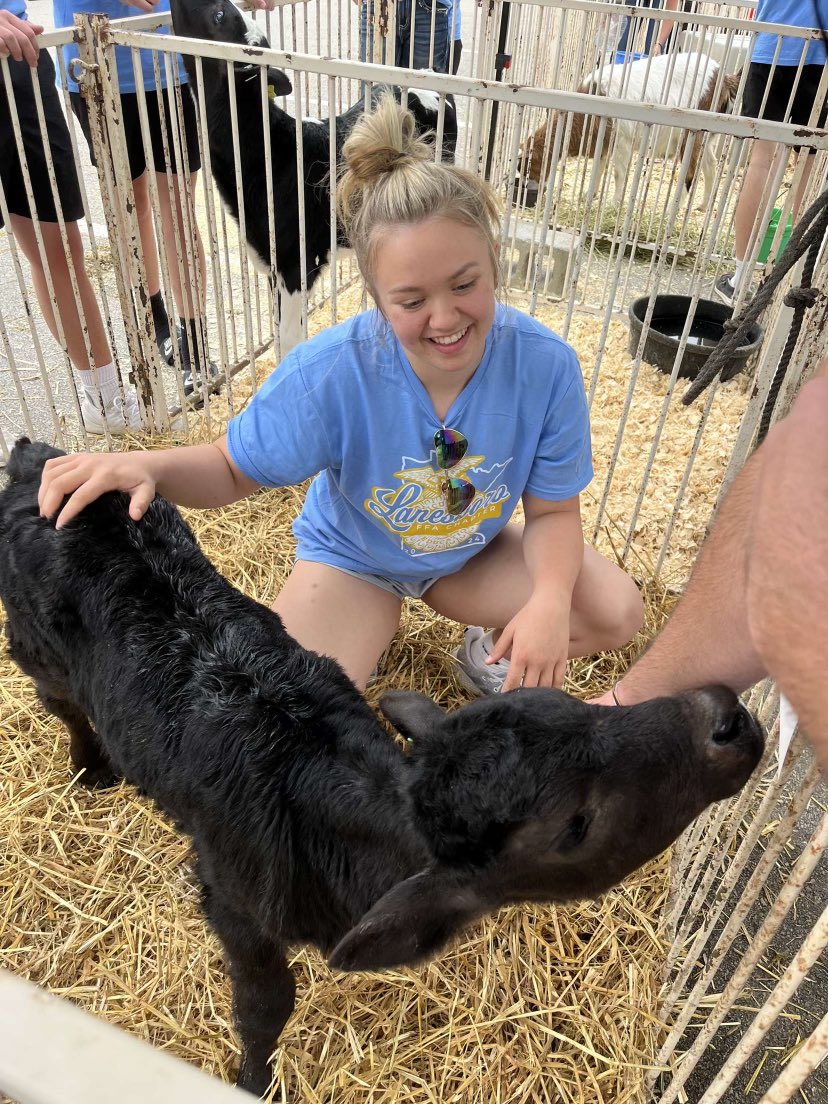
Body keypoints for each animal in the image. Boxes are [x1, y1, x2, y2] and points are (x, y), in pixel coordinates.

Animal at [0, 437, 763, 1095]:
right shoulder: (235, 901)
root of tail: (38, 457)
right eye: (574, 826)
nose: (726, 719)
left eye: (580, 710)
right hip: (35, 647)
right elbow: (266, 1005)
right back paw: (91, 768)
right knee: (60, 704)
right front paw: (253, 1079)